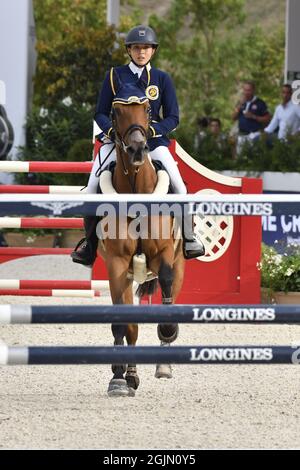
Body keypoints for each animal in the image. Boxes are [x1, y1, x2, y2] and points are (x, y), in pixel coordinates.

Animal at [96, 74, 185, 396]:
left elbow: (167, 285)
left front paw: (168, 331)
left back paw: (164, 364)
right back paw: (131, 375)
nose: (136, 150)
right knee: (132, 326)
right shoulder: (117, 266)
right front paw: (118, 377)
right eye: (116, 111)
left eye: (147, 109)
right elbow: (123, 324)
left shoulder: (164, 255)